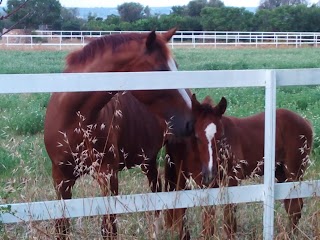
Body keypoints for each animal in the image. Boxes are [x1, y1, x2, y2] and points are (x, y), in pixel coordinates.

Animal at [43, 29, 194, 239]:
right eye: (160, 70)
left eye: (176, 67)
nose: (190, 120)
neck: (73, 119)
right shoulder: (61, 178)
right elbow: (62, 227)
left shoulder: (108, 176)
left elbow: (109, 228)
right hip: (148, 159)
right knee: (156, 190)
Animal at [165, 94, 312, 239]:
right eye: (197, 136)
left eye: (221, 136)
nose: (210, 173)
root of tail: (306, 122)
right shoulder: (206, 186)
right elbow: (208, 223)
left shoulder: (231, 181)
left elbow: (229, 221)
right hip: (281, 173)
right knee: (292, 205)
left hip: (294, 172)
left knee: (295, 207)